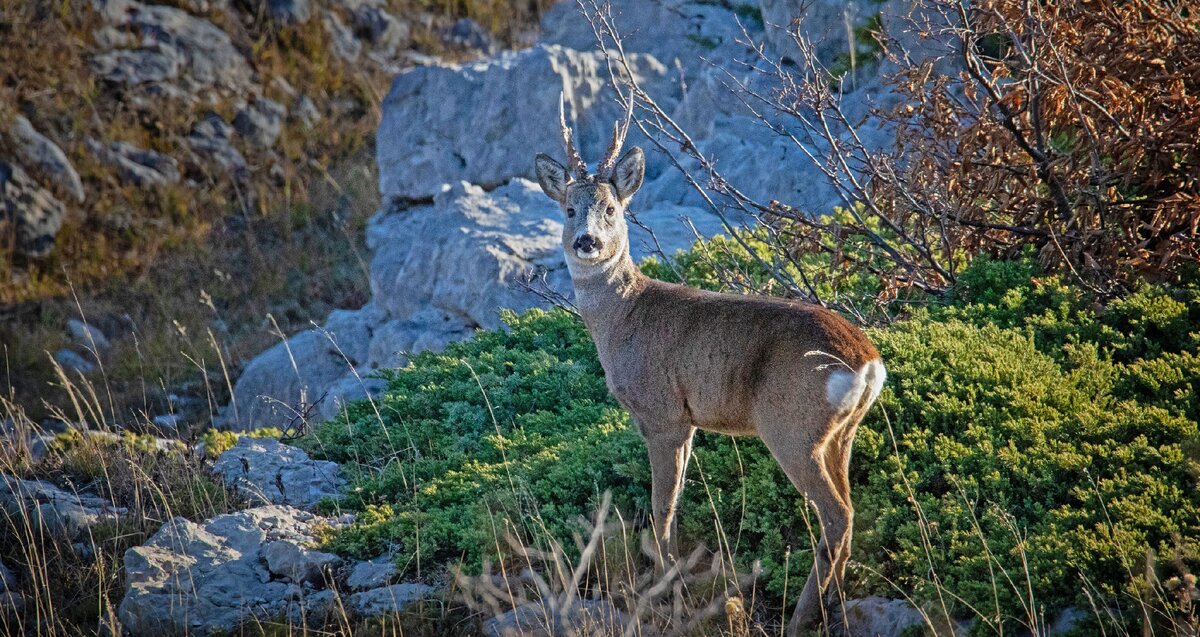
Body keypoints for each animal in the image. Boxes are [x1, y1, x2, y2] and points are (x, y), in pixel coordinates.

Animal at [532, 97, 883, 633]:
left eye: (611, 209)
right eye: (569, 209)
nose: (586, 241)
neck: (624, 316)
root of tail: (868, 362)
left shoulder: (663, 413)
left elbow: (662, 506)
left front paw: (664, 589)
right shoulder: (689, 420)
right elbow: (674, 503)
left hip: (792, 427)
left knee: (836, 515)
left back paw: (803, 616)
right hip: (841, 434)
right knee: (849, 510)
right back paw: (833, 607)